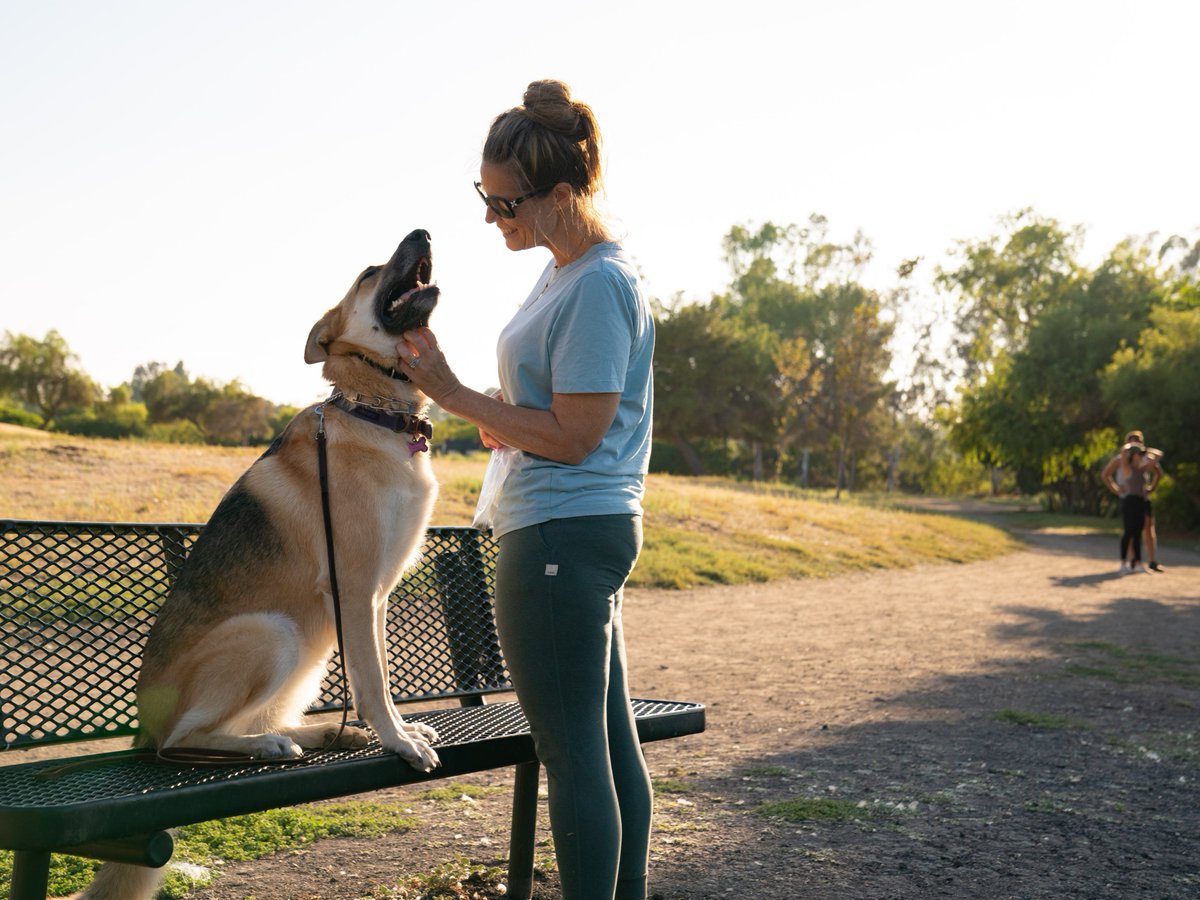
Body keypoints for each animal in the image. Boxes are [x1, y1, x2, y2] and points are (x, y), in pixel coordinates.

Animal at [82, 226, 444, 900]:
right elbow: (376, 682)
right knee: (188, 739)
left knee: (255, 722)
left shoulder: (376, 598)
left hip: (309, 651)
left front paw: (391, 731)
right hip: (272, 631)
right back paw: (273, 745)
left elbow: (377, 675)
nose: (424, 231)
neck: (373, 410)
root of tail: (143, 728)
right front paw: (398, 740)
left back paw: (319, 733)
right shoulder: (356, 590)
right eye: (369, 271)